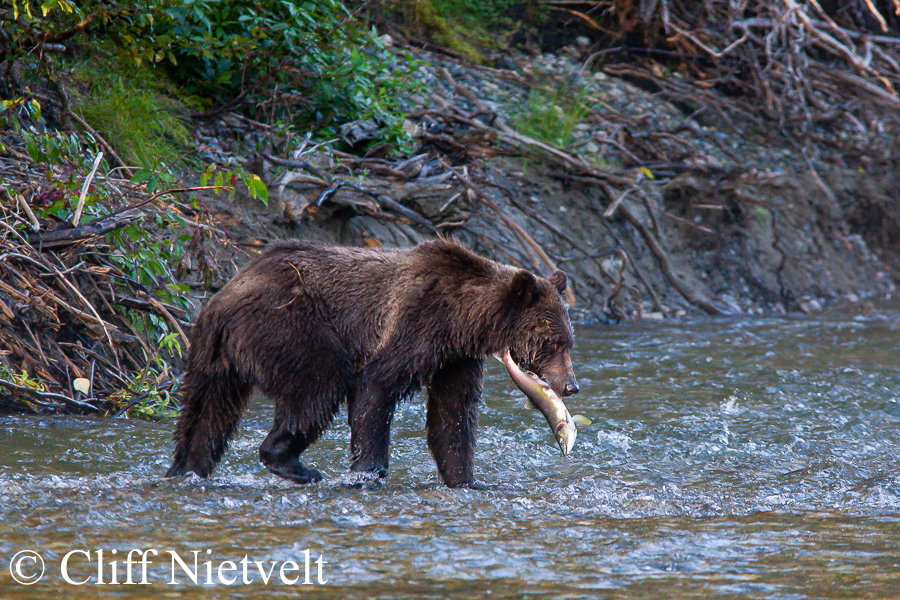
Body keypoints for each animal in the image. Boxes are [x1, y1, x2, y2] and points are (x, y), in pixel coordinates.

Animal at [165, 238, 578, 488]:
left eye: (568, 342)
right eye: (554, 342)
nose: (570, 385)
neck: (463, 318)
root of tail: (222, 298)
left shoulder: (454, 358)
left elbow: (452, 417)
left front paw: (466, 479)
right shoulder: (415, 322)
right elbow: (375, 388)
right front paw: (367, 471)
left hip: (211, 357)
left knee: (206, 414)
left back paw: (187, 468)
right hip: (288, 325)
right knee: (319, 384)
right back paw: (295, 464)